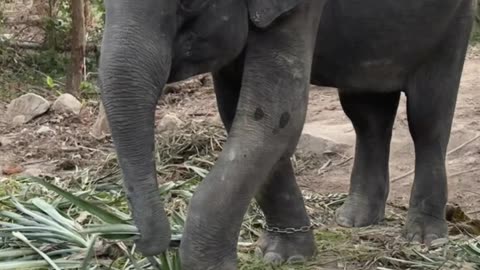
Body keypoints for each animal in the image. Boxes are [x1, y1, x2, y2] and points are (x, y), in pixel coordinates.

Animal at [98, 0, 476, 268]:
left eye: (189, 2)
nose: (148, 247)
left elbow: (277, 114)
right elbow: (239, 114)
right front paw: (283, 256)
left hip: (454, 21)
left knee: (427, 118)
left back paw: (425, 239)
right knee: (366, 113)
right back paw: (354, 220)